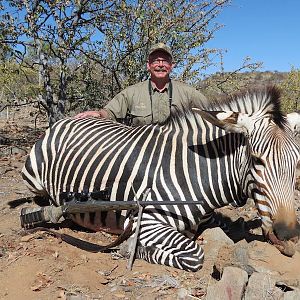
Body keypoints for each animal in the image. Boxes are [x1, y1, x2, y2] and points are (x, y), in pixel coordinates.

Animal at [22, 86, 300, 272]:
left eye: (297, 164)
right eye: (256, 160)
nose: (287, 233)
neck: (196, 171)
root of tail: (64, 121)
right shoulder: (144, 221)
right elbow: (194, 254)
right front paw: (128, 249)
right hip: (34, 180)